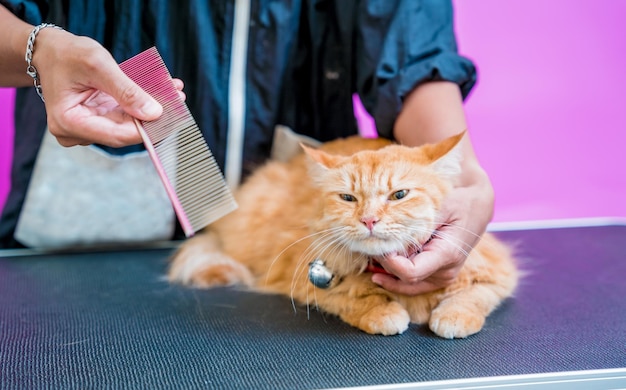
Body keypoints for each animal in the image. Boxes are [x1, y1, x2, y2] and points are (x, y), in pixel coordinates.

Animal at [169, 133, 516, 336]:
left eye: (399, 195)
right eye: (348, 198)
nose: (369, 220)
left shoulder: (496, 271)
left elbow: (472, 295)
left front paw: (453, 316)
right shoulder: (303, 275)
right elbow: (353, 296)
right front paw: (383, 312)